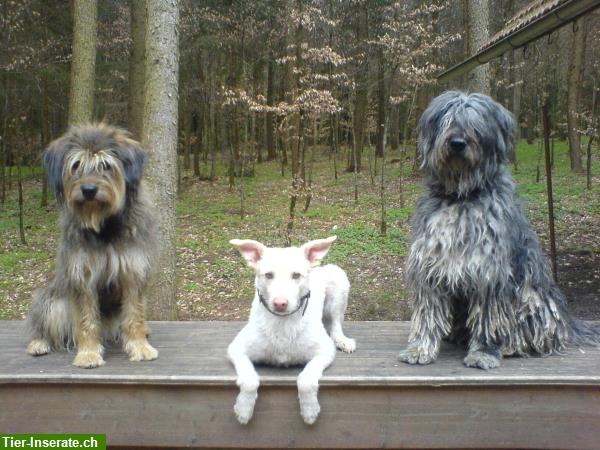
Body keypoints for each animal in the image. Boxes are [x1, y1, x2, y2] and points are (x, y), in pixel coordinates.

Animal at [227, 236, 354, 426]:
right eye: (269, 275)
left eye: (296, 275)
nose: (280, 303)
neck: (282, 323)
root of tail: (319, 267)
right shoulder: (236, 349)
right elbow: (250, 380)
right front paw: (243, 409)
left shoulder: (324, 351)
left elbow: (306, 380)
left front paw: (309, 410)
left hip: (338, 283)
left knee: (336, 324)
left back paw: (342, 340)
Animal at [398, 90, 600, 370]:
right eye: (448, 121)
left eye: (474, 123)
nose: (457, 143)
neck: (462, 197)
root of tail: (567, 325)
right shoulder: (430, 267)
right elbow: (427, 313)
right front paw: (420, 348)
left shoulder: (489, 273)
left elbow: (487, 318)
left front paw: (483, 352)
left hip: (533, 300)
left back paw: (510, 346)